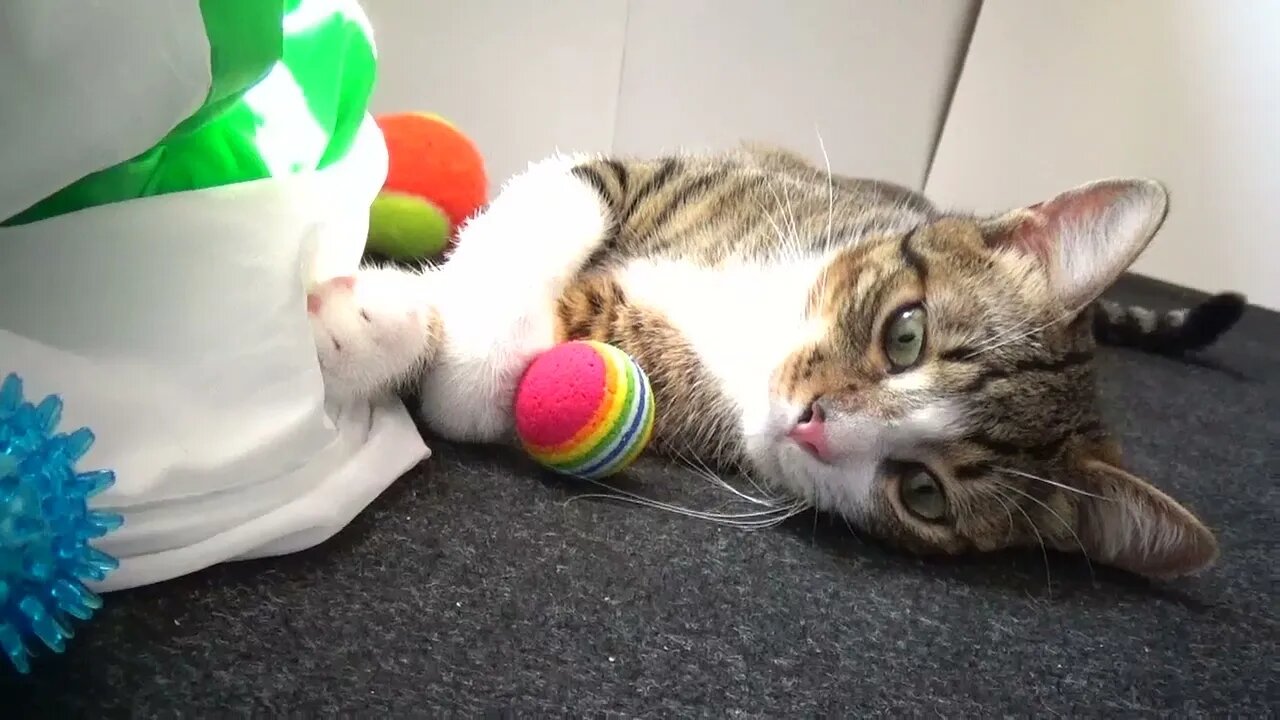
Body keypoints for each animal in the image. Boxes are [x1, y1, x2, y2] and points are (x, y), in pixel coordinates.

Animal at [304, 144, 1244, 576]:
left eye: (924, 494)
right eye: (906, 333)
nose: (816, 422)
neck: (760, 327)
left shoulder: (652, 361)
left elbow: (500, 372)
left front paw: (392, 335)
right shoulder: (681, 174)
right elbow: (560, 196)